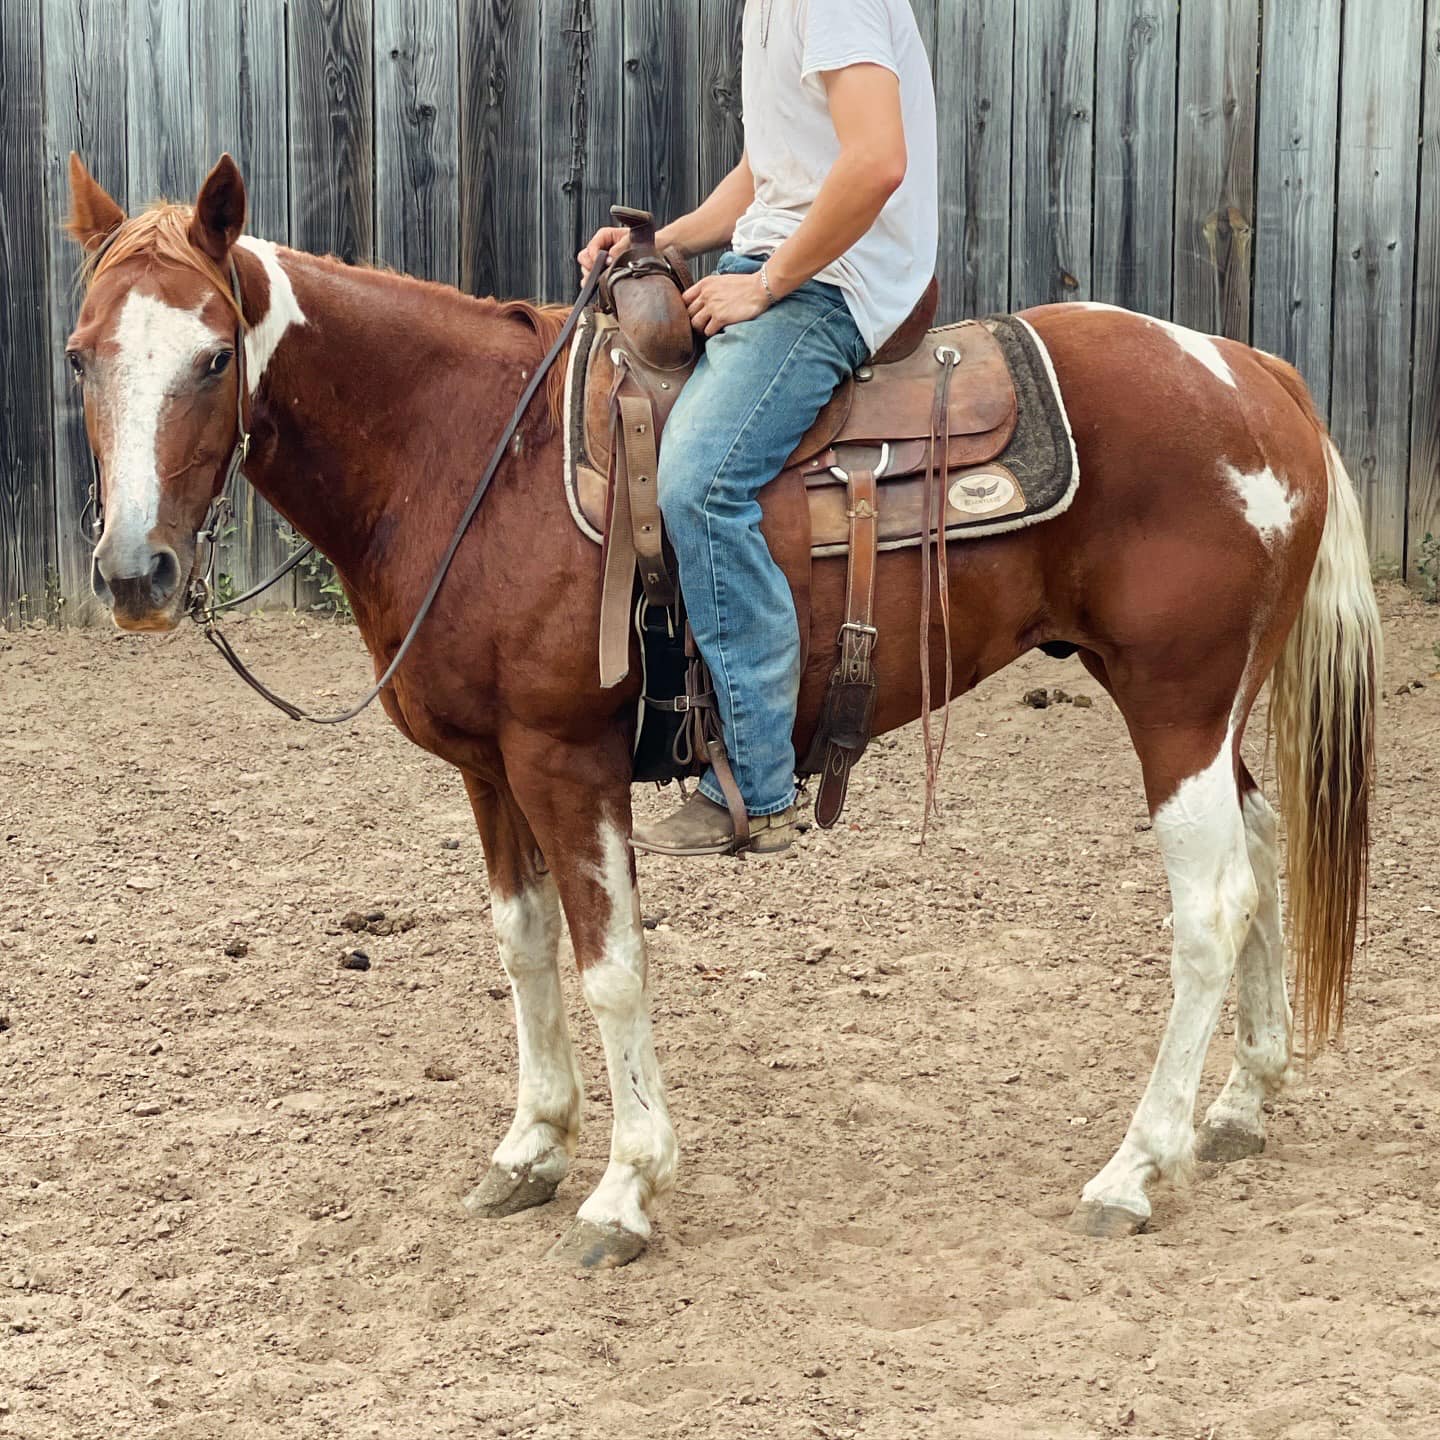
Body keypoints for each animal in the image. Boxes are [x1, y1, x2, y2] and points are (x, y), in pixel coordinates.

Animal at [63, 152, 1381, 1267]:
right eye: (82, 355)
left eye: (214, 358)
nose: (136, 574)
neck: (468, 448)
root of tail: (1256, 375)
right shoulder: (490, 769)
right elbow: (523, 946)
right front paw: (532, 1147)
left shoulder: (566, 761)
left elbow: (610, 967)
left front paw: (624, 1188)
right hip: (1211, 712)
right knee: (1264, 854)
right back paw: (1240, 1106)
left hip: (1176, 703)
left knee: (1210, 908)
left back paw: (1136, 1168)